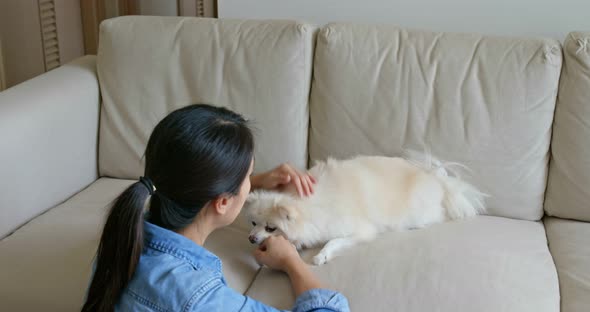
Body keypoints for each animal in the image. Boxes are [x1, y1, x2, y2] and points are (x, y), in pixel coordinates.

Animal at [244, 152, 486, 266]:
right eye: (253, 223)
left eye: (271, 228)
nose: (251, 238)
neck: (309, 205)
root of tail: (435, 178)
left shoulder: (359, 230)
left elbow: (334, 241)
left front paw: (321, 256)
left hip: (418, 212)